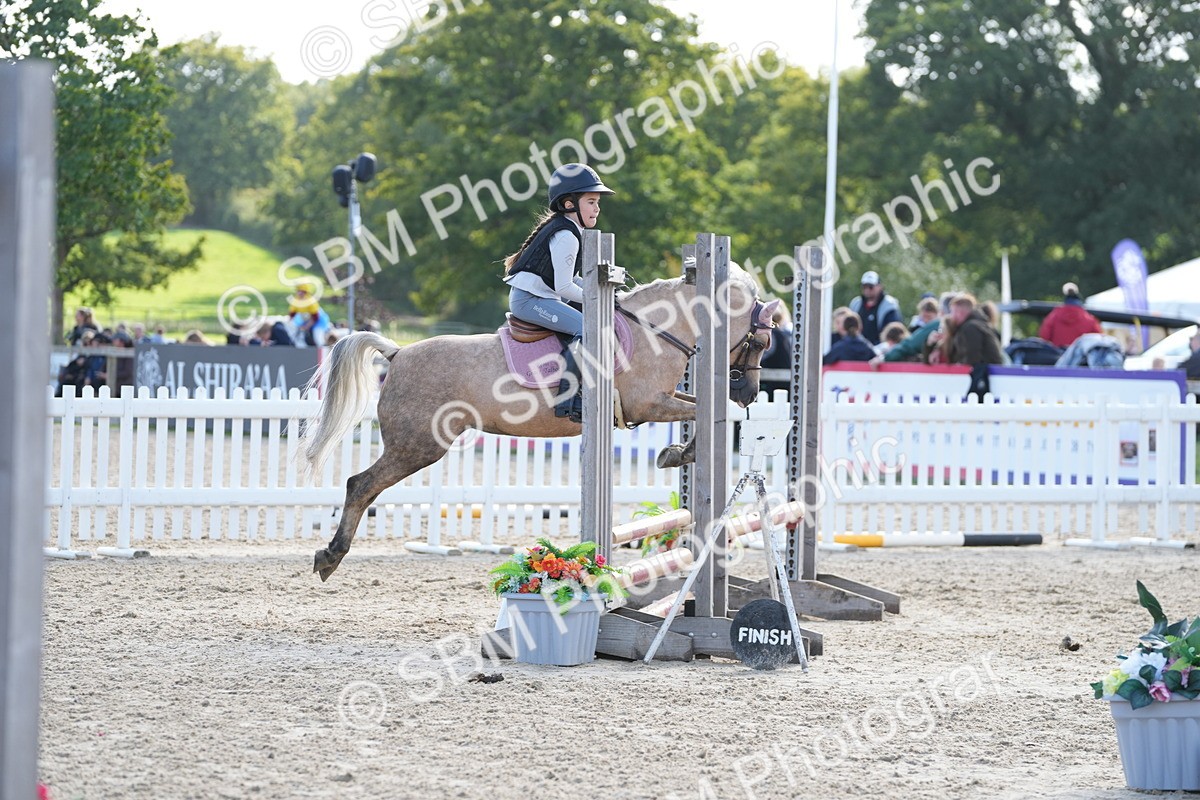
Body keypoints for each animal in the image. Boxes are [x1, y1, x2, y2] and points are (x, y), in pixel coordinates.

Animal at [302, 263, 783, 581]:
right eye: (762, 342)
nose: (750, 392)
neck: (658, 328)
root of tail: (398, 352)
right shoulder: (649, 404)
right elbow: (711, 410)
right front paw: (681, 452)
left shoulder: (660, 400)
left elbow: (708, 407)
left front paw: (676, 451)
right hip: (417, 446)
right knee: (360, 485)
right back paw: (330, 557)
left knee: (362, 486)